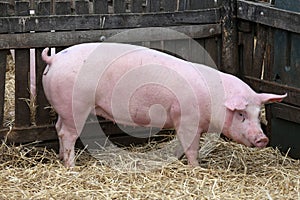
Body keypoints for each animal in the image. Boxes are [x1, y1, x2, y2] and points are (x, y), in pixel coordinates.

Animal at [41, 43, 288, 168]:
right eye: (241, 114)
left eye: (257, 114)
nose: (263, 139)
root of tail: (54, 59)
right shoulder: (187, 120)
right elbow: (191, 147)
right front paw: (197, 168)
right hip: (76, 106)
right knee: (67, 134)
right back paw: (72, 167)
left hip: (64, 108)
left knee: (59, 129)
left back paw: (62, 160)